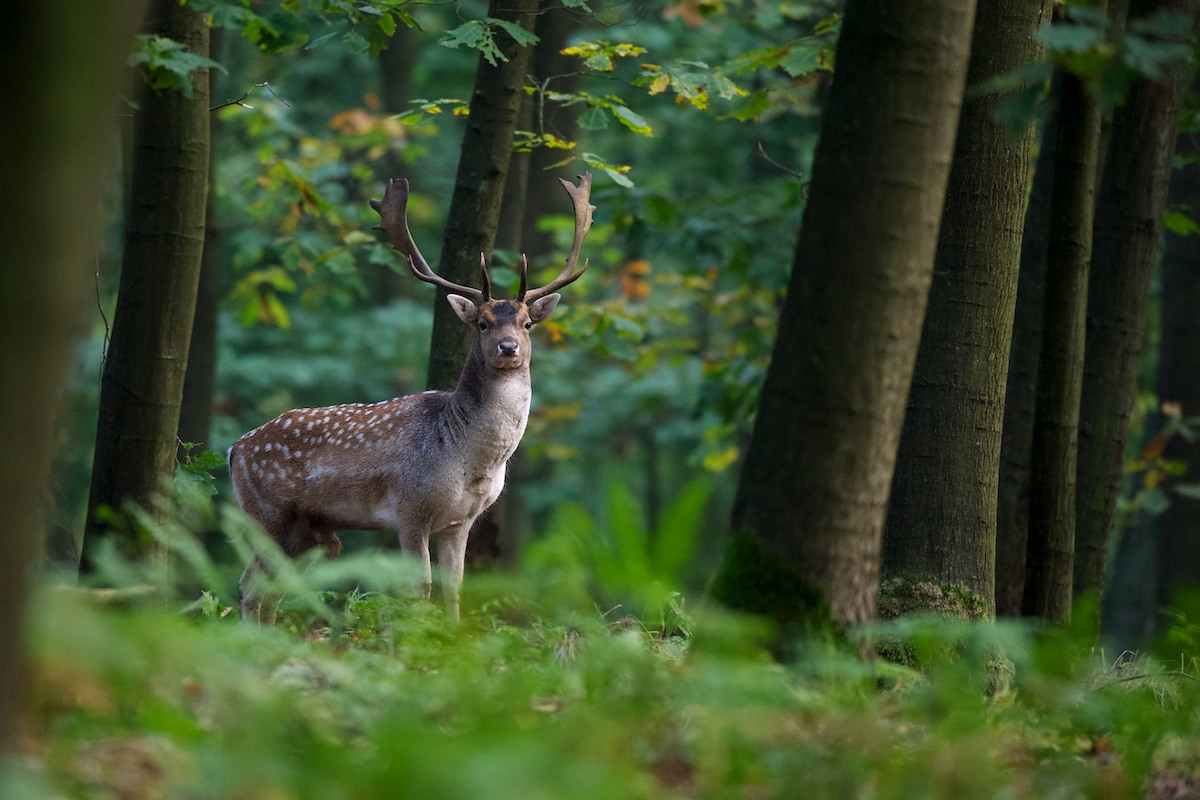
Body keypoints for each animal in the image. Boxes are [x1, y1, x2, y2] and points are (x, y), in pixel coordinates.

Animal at [230, 173, 595, 623]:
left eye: (528, 323)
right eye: (482, 323)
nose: (509, 347)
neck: (469, 459)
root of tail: (234, 449)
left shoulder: (461, 521)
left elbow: (454, 588)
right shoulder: (409, 509)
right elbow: (420, 588)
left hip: (305, 529)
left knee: (267, 589)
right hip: (269, 513)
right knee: (251, 585)